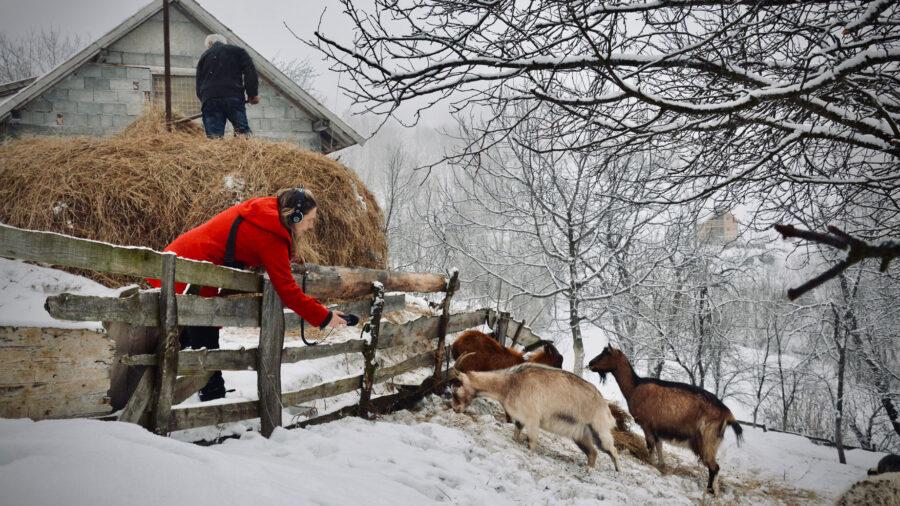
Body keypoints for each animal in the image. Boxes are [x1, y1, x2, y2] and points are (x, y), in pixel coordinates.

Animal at [450, 362, 620, 468]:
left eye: (456, 389)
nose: (455, 409)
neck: (510, 383)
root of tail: (605, 406)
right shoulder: (520, 418)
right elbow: (516, 433)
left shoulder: (532, 419)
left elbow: (532, 441)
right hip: (581, 435)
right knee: (593, 453)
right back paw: (588, 470)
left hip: (600, 431)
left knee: (613, 451)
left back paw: (617, 471)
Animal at [588, 344, 740, 494]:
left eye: (606, 353)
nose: (590, 364)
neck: (634, 387)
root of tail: (727, 414)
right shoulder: (657, 429)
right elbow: (659, 446)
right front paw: (661, 465)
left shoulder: (647, 424)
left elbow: (650, 445)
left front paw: (651, 463)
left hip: (707, 439)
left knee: (714, 467)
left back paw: (710, 491)